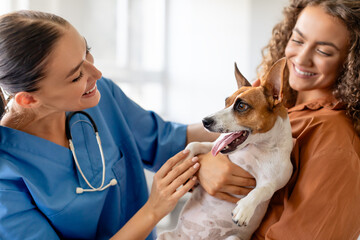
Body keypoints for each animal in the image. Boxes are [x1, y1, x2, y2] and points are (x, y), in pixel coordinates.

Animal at [159, 58, 294, 240]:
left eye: (242, 106)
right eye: (226, 102)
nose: (205, 121)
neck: (255, 148)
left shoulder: (274, 180)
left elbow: (262, 190)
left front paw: (244, 208)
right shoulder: (214, 146)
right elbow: (196, 144)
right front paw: (185, 161)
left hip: (233, 238)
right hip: (164, 235)